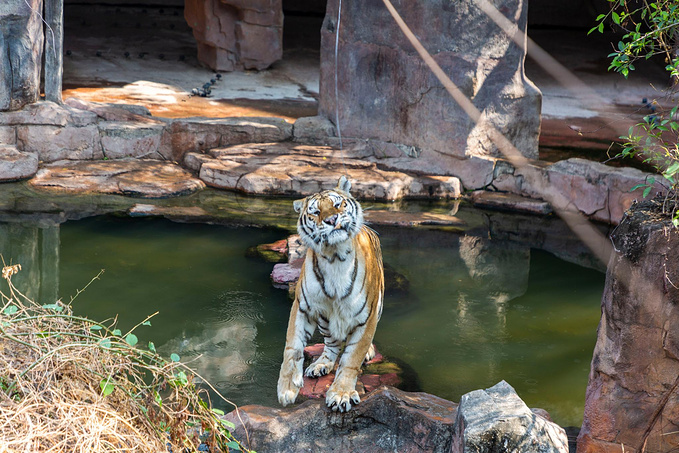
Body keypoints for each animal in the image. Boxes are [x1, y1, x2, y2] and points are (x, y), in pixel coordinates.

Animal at [276, 175, 382, 412]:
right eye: (316, 212)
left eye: (338, 204)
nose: (332, 220)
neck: (335, 256)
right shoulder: (303, 307)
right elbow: (292, 347)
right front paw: (287, 389)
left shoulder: (367, 317)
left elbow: (351, 358)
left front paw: (341, 394)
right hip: (325, 320)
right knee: (331, 345)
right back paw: (320, 365)